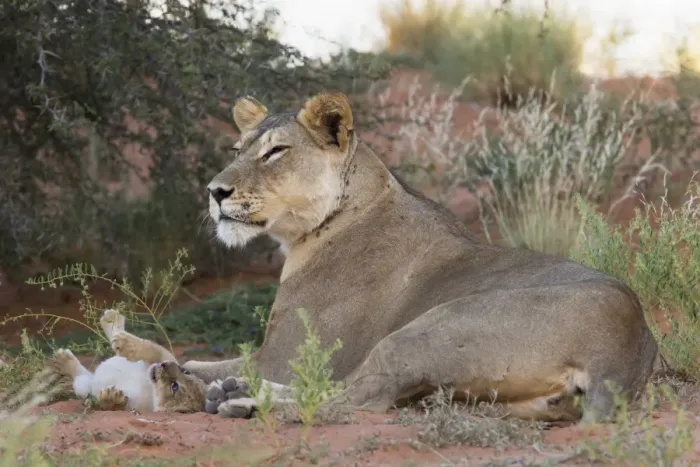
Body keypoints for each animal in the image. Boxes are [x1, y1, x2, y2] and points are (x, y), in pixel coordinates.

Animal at [49, 309, 254, 415]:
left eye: (174, 387)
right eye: (185, 372)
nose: (165, 366)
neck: (149, 389)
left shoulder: (136, 408)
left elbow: (114, 405)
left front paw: (111, 398)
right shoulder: (163, 356)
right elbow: (151, 348)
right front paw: (126, 343)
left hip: (86, 388)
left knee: (81, 377)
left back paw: (62, 360)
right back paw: (112, 320)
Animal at [183, 91, 658, 423]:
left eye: (276, 152)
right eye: (237, 150)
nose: (214, 191)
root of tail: (624, 346)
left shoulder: (284, 355)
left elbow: (188, 360)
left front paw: (183, 372)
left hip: (428, 329)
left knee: (354, 397)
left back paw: (241, 401)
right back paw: (232, 391)